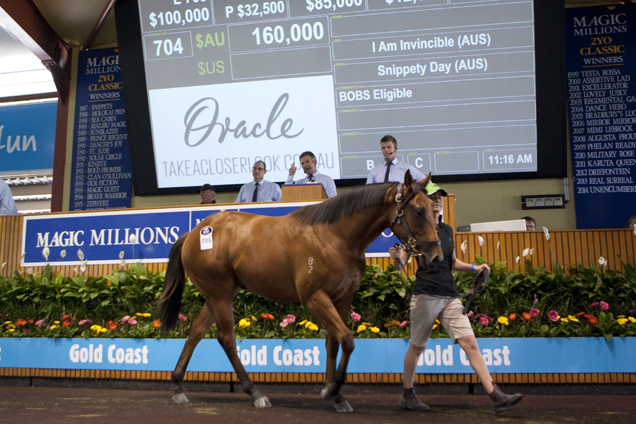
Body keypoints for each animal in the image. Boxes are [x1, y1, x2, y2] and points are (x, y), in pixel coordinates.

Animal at [159, 171, 442, 412]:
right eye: (418, 211)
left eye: (434, 210)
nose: (436, 257)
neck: (335, 236)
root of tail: (195, 232)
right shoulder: (314, 298)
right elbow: (347, 339)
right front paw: (333, 390)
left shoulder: (342, 298)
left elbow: (333, 341)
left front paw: (334, 393)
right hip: (220, 294)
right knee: (226, 338)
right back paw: (255, 393)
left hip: (218, 295)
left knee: (196, 332)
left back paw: (178, 385)